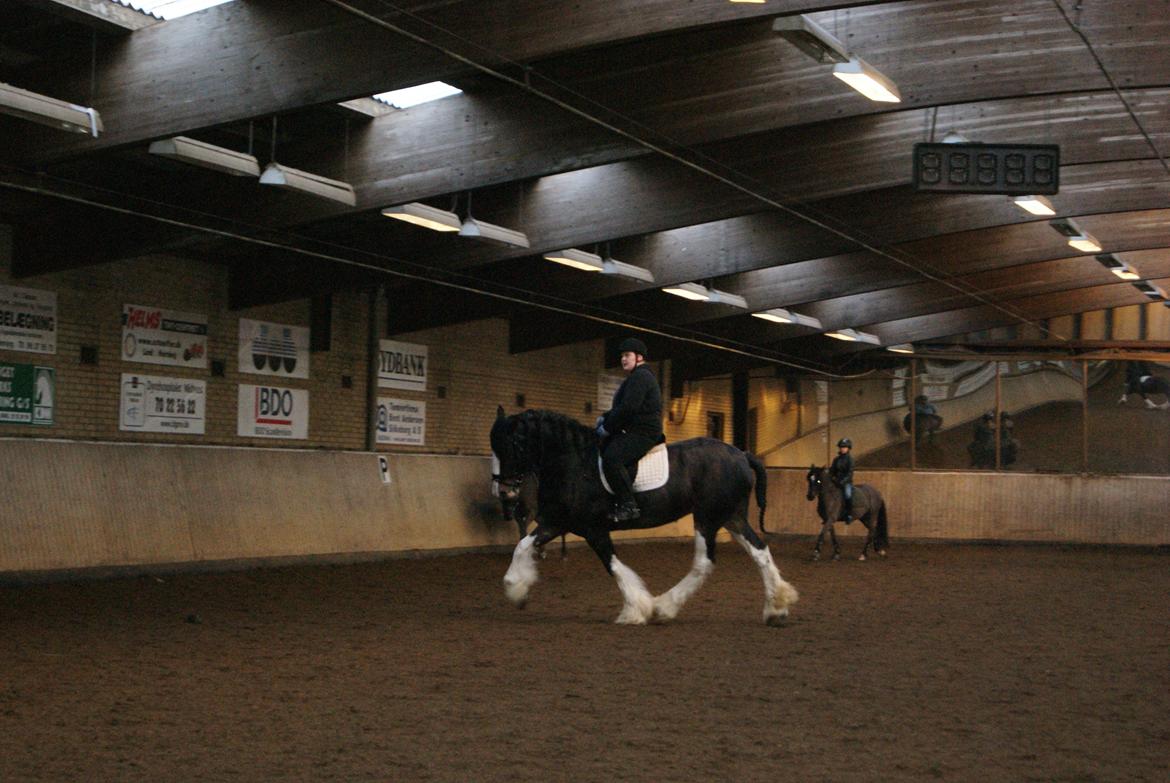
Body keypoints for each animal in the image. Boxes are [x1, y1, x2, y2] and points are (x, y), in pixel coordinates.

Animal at [489, 407, 800, 627]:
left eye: (514, 443)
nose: (504, 491)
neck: (574, 462)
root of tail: (742, 455)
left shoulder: (592, 528)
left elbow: (613, 565)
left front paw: (636, 610)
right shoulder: (559, 522)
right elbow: (522, 545)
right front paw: (517, 590)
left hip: (708, 518)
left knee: (704, 562)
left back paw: (664, 607)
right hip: (730, 517)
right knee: (759, 551)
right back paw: (776, 608)